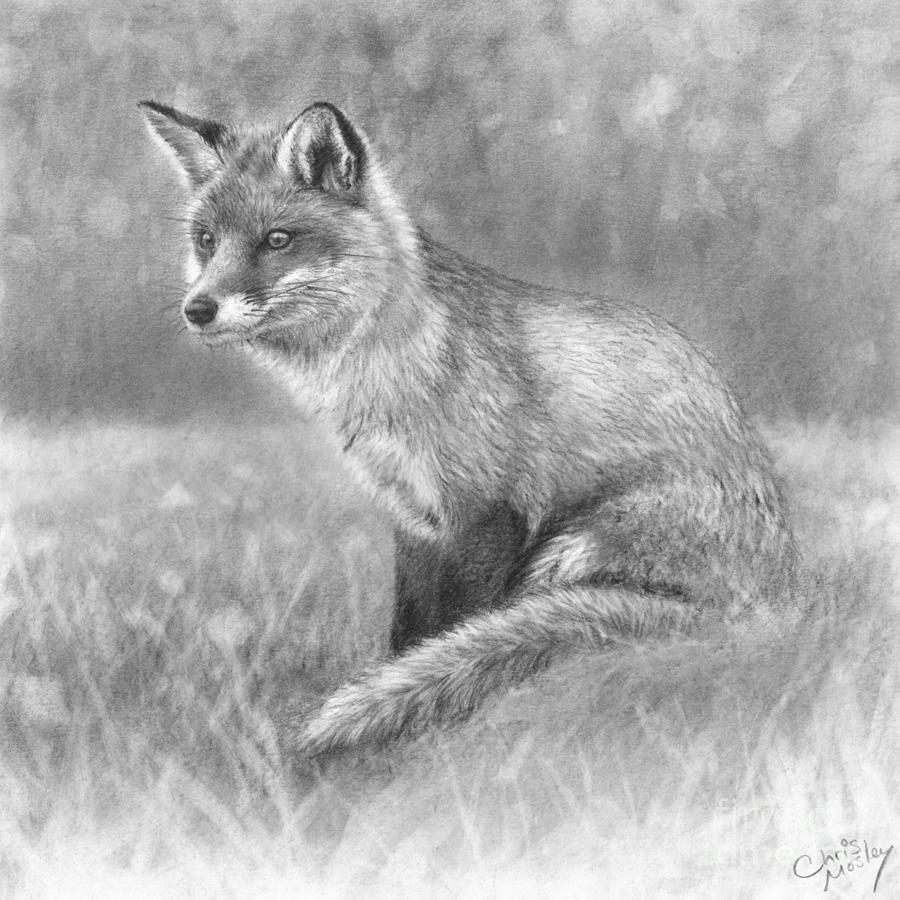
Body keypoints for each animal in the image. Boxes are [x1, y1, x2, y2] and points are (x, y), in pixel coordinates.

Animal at [141, 99, 798, 755]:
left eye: (277, 240)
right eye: (206, 240)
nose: (197, 309)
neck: (390, 368)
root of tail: (776, 611)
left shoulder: (487, 511)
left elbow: (456, 626)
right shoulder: (416, 518)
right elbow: (411, 631)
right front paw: (399, 691)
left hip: (569, 552)